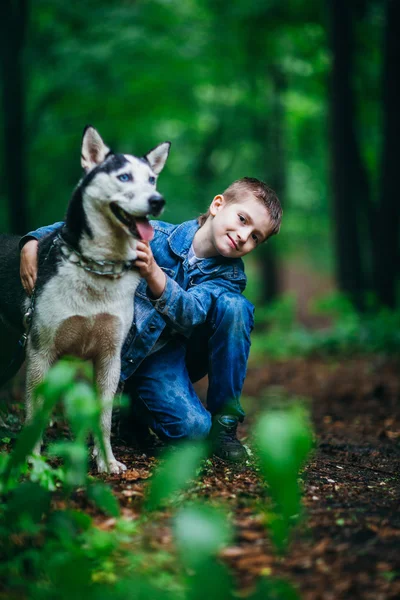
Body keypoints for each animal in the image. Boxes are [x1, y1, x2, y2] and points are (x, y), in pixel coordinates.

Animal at [0, 125, 170, 474]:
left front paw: (107, 461)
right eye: (123, 177)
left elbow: (102, 418)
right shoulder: (41, 352)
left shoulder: (109, 357)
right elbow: (36, 415)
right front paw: (34, 462)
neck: (98, 267)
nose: (157, 201)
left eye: (152, 180)